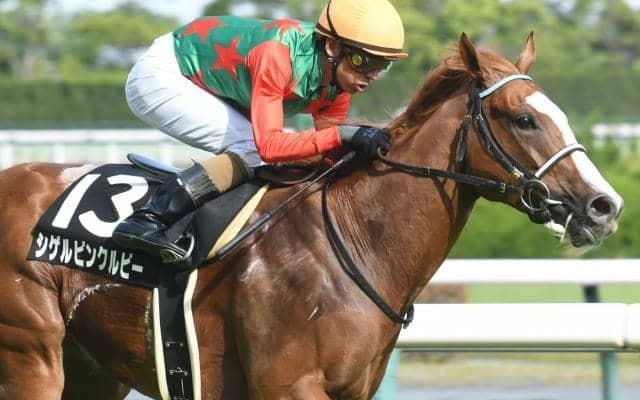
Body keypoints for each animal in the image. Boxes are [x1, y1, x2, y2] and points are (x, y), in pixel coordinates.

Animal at [0, 32, 623, 400]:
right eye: (524, 119)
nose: (605, 205)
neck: (356, 238)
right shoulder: (290, 386)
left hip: (91, 370)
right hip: (32, 356)